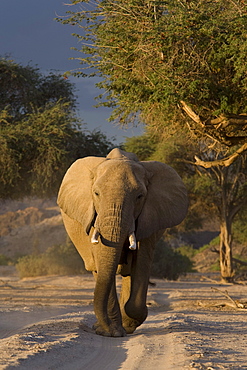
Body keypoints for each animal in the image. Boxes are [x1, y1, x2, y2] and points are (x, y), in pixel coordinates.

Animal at [57, 147, 188, 336]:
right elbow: (102, 261)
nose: (103, 329)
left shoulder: (149, 217)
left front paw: (129, 324)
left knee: (128, 271)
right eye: (96, 193)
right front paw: (112, 333)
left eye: (140, 196)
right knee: (97, 268)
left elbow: (141, 261)